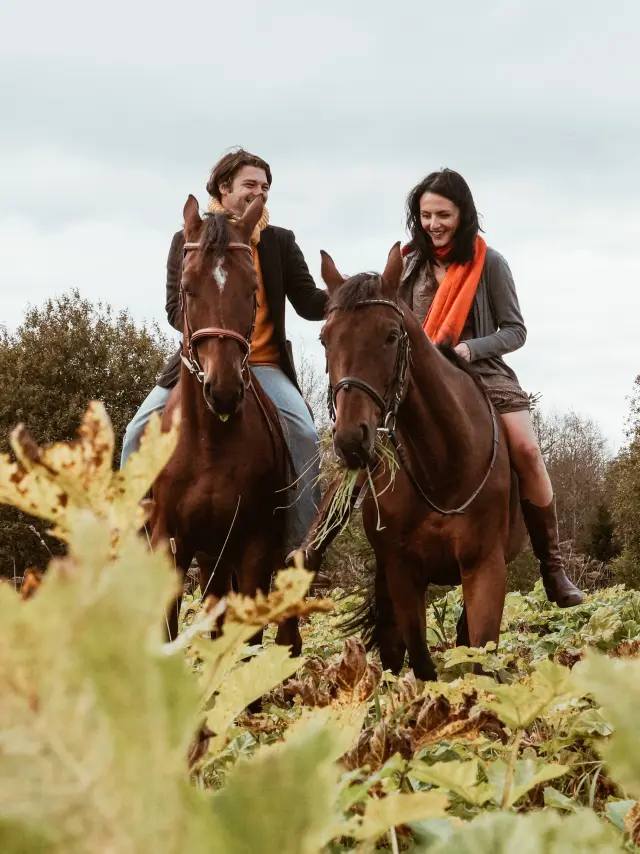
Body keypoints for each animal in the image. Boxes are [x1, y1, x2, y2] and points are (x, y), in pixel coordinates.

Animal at [317, 243, 525, 681]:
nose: (350, 438)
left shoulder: (485, 569)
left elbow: (480, 659)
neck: (442, 467)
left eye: (391, 336)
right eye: (326, 338)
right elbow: (420, 661)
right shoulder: (401, 572)